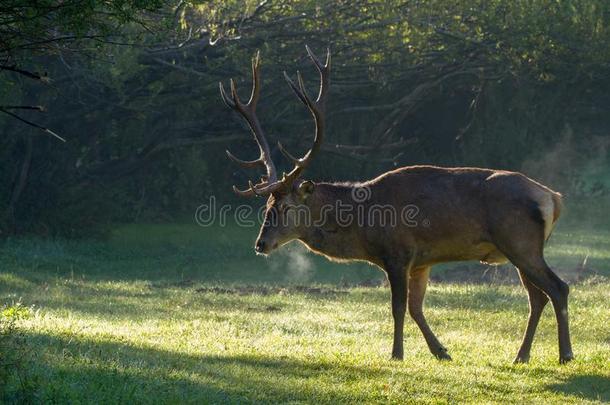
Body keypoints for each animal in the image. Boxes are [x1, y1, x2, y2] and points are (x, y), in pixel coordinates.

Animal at [218, 46, 568, 362]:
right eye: (267, 206)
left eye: (287, 208)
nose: (261, 243)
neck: (363, 224)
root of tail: (553, 197)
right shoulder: (422, 260)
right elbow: (416, 307)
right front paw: (441, 352)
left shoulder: (398, 252)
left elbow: (398, 307)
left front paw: (397, 354)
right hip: (520, 249)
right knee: (537, 297)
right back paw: (522, 355)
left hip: (520, 243)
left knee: (557, 288)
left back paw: (564, 354)